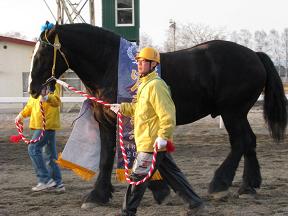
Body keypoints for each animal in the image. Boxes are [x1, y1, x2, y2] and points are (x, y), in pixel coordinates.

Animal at [28, 23, 286, 206]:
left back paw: (220, 184)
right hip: (239, 113)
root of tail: (254, 55)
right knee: (249, 142)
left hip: (232, 112)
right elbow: (105, 159)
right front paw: (99, 195)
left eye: (42, 53)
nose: (33, 88)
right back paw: (248, 187)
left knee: (240, 142)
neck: (109, 65)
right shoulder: (106, 122)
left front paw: (158, 190)